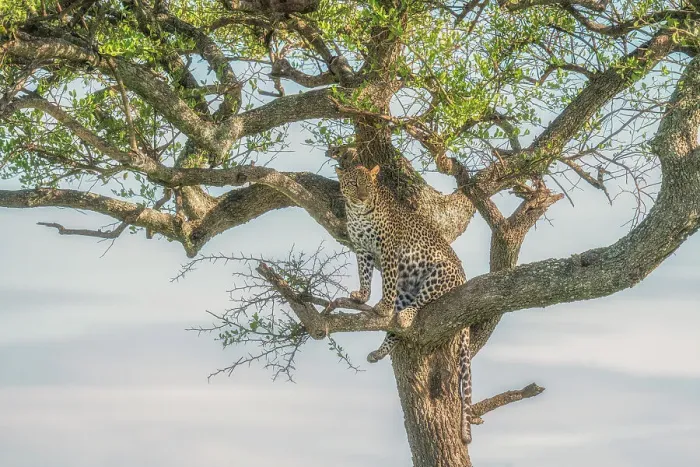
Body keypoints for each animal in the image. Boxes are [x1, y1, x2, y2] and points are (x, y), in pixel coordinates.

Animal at [335, 164, 473, 445]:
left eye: (368, 185)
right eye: (353, 184)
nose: (362, 196)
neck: (358, 213)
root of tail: (463, 278)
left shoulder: (388, 250)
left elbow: (386, 280)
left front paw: (382, 305)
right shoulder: (362, 250)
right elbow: (364, 274)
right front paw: (362, 296)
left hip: (439, 273)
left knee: (420, 302)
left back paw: (405, 315)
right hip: (406, 290)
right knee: (396, 330)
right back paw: (379, 351)